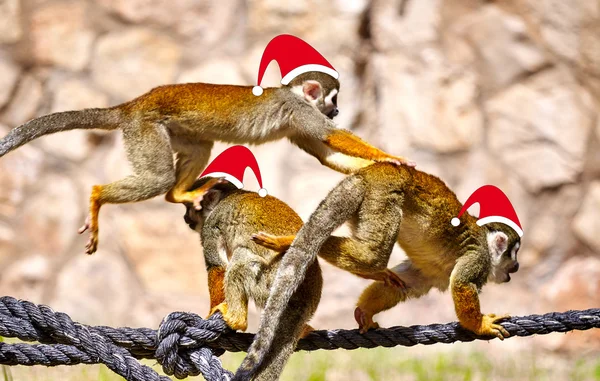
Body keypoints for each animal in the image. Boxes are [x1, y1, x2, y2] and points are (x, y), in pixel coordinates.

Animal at [183, 178, 324, 380]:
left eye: (189, 208)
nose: (185, 217)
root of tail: (305, 302)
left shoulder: (211, 223)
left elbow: (216, 266)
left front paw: (211, 312)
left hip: (269, 284)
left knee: (240, 256)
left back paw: (236, 319)